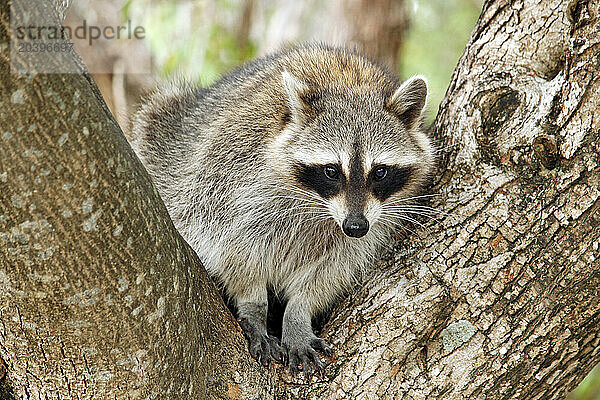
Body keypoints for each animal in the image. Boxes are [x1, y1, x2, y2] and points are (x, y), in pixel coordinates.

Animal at [129, 44, 434, 378]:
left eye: (379, 172)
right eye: (331, 171)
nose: (355, 226)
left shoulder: (379, 218)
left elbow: (335, 265)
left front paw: (299, 312)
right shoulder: (230, 176)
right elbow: (234, 248)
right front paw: (253, 305)